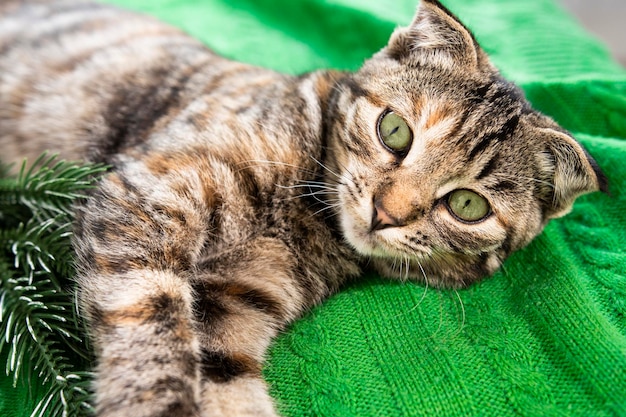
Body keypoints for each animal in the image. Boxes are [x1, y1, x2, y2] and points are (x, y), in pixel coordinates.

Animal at [0, 0, 604, 414]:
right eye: (395, 131)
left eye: (466, 205)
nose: (386, 212)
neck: (308, 221)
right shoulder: (145, 197)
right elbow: (153, 325)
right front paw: (155, 403)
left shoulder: (234, 301)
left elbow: (226, 382)